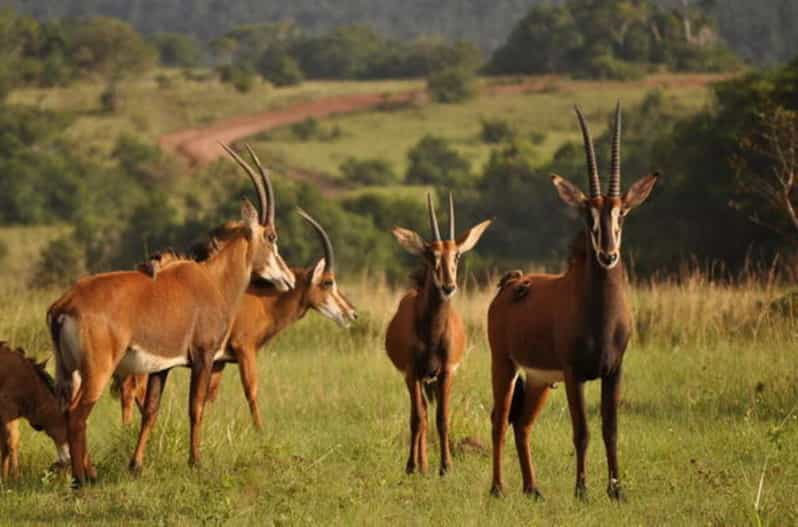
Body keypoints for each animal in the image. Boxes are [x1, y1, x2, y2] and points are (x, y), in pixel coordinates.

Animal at [0, 340, 69, 480]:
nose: (68, 460)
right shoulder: (7, 409)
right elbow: (12, 441)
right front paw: (16, 477)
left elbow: (4, 444)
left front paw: (4, 477)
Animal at [44, 143, 294, 486]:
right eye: (271, 237)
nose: (289, 279)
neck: (214, 280)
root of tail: (65, 303)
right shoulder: (203, 356)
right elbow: (196, 408)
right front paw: (196, 462)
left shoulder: (160, 367)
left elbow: (150, 411)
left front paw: (136, 465)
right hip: (98, 370)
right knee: (78, 415)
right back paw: (84, 480)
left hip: (69, 371)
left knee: (65, 412)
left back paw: (85, 474)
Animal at [117, 208, 358, 432]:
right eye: (328, 282)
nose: (351, 313)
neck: (262, 302)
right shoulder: (245, 348)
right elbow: (251, 389)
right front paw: (260, 431)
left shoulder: (218, 362)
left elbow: (210, 396)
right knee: (130, 388)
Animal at [386, 196, 490, 476]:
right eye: (431, 254)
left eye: (457, 255)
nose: (448, 286)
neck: (431, 331)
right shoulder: (412, 372)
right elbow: (416, 418)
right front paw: (411, 466)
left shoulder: (446, 372)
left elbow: (442, 418)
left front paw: (446, 467)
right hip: (418, 378)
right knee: (421, 413)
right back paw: (421, 465)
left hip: (430, 379)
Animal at [490, 104, 660, 504]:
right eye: (588, 214)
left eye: (621, 213)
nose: (608, 255)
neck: (600, 317)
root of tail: (510, 283)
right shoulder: (573, 373)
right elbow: (581, 430)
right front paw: (582, 490)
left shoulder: (614, 371)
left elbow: (610, 428)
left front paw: (617, 490)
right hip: (504, 366)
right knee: (499, 420)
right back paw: (498, 488)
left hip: (538, 380)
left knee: (521, 424)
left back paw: (532, 488)